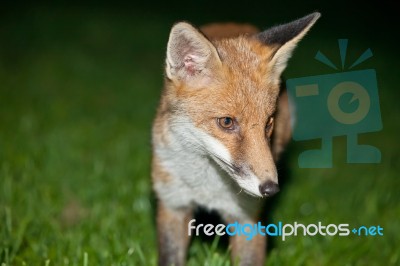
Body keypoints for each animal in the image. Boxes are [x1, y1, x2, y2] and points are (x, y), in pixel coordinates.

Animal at [152, 11, 320, 264]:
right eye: (227, 122)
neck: (206, 188)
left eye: (269, 122)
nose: (271, 189)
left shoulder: (248, 219)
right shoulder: (173, 204)